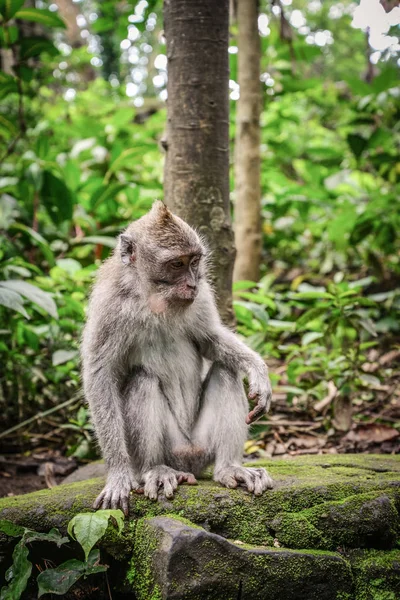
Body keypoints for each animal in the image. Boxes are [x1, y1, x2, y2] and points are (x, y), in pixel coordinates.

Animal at [81, 203, 272, 516]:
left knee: (226, 370)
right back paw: (155, 470)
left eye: (194, 261)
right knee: (142, 380)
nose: (192, 284)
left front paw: (258, 371)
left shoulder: (203, 297)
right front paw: (118, 473)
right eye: (176, 265)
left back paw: (229, 468)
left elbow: (210, 340)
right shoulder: (110, 304)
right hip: (170, 447)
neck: (154, 299)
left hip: (201, 447)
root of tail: (187, 461)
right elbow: (101, 375)